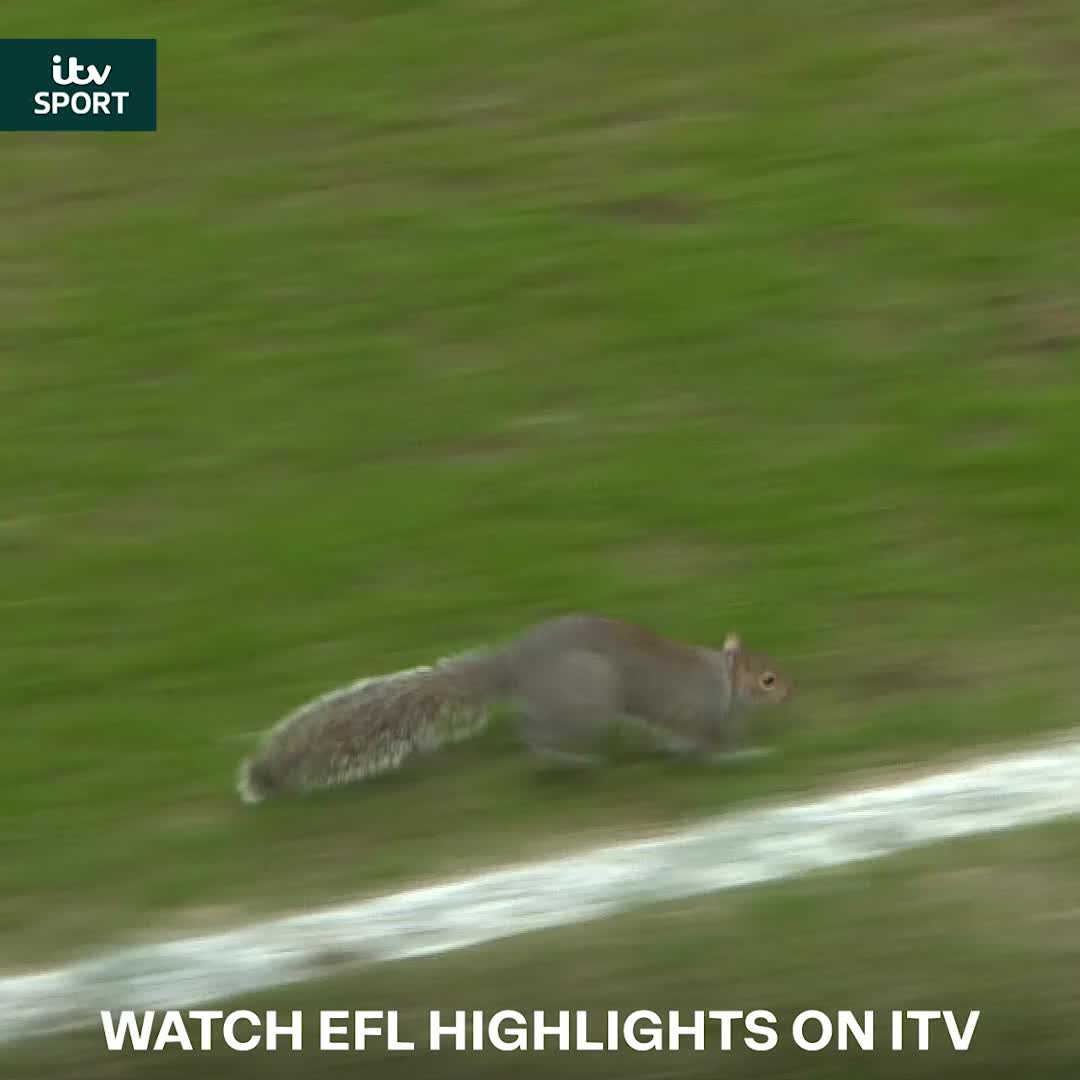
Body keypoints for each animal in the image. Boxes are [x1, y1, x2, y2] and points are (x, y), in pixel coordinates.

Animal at [236, 613, 793, 803]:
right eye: (767, 679)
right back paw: (576, 761)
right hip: (588, 697)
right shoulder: (696, 715)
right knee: (539, 737)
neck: (722, 681)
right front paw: (746, 758)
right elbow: (707, 748)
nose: (792, 692)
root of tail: (516, 665)